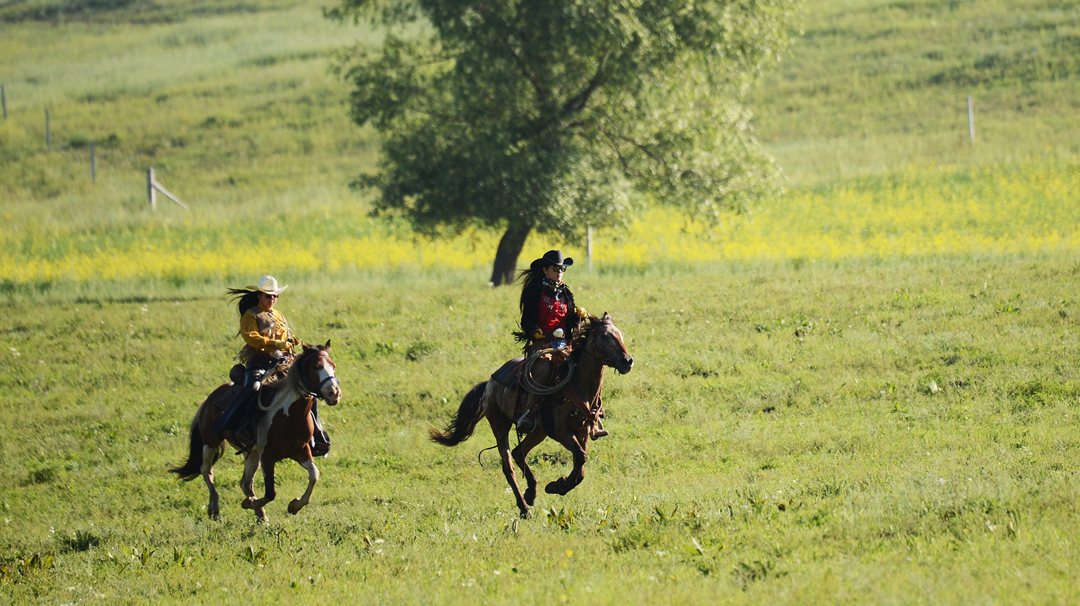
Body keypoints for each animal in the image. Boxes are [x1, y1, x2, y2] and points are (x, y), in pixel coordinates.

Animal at [169, 341, 341, 520]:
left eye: (333, 366)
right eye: (315, 367)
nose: (333, 393)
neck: (289, 415)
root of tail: (208, 400)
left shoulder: (301, 450)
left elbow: (314, 475)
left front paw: (294, 505)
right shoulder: (267, 455)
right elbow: (271, 493)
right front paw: (251, 503)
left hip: (251, 453)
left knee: (245, 482)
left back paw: (259, 514)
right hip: (211, 442)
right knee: (206, 470)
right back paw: (215, 507)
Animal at [429, 313, 630, 518]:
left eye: (621, 334)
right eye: (604, 336)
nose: (627, 361)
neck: (579, 387)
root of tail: (489, 383)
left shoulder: (582, 432)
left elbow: (580, 465)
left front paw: (557, 486)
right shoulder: (561, 432)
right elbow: (580, 457)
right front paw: (558, 485)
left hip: (537, 432)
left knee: (519, 453)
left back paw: (531, 493)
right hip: (499, 425)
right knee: (508, 465)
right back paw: (524, 507)